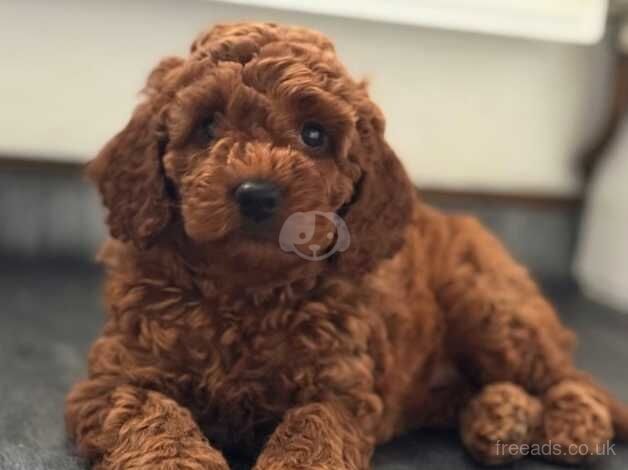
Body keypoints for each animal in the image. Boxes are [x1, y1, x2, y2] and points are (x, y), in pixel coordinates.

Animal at [65, 23, 628, 470]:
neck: (246, 291)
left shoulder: (344, 388)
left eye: (314, 135)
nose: (257, 193)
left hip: (490, 306)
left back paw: (570, 425)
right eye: (207, 126)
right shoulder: (114, 379)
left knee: (568, 376)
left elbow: (312, 428)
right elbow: (153, 416)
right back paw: (500, 417)